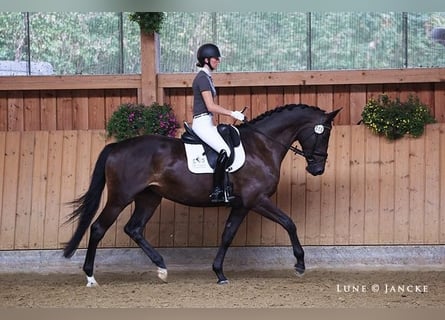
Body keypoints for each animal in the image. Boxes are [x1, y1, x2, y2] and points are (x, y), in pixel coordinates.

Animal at [61, 104, 340, 286]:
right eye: (325, 132)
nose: (317, 169)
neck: (261, 146)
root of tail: (117, 146)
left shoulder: (241, 205)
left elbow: (227, 235)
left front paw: (219, 273)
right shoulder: (257, 200)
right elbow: (289, 223)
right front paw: (300, 265)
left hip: (149, 197)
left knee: (134, 228)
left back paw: (161, 267)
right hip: (121, 198)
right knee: (98, 228)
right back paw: (90, 276)